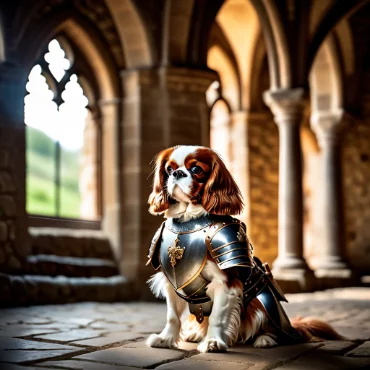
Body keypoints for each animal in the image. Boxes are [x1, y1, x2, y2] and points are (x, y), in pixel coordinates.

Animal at [144, 145, 342, 352]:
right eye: (168, 169)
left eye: (197, 169)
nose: (177, 173)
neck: (189, 220)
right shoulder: (171, 283)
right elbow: (172, 317)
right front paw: (165, 339)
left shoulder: (226, 281)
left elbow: (217, 316)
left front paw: (213, 341)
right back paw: (196, 334)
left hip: (264, 302)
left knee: (272, 326)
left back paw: (265, 339)